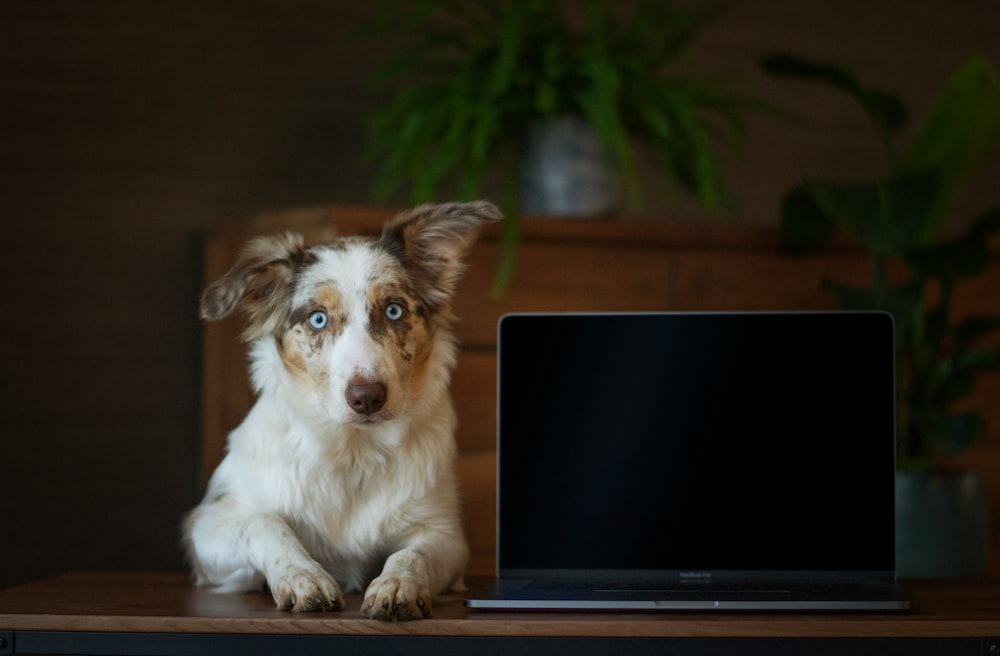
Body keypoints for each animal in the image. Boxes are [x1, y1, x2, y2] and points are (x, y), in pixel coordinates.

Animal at [182, 200, 500, 620]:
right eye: (318, 318)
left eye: (394, 311)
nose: (366, 397)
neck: (353, 452)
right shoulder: (207, 525)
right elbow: (264, 522)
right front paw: (303, 576)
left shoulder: (443, 533)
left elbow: (411, 555)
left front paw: (397, 585)